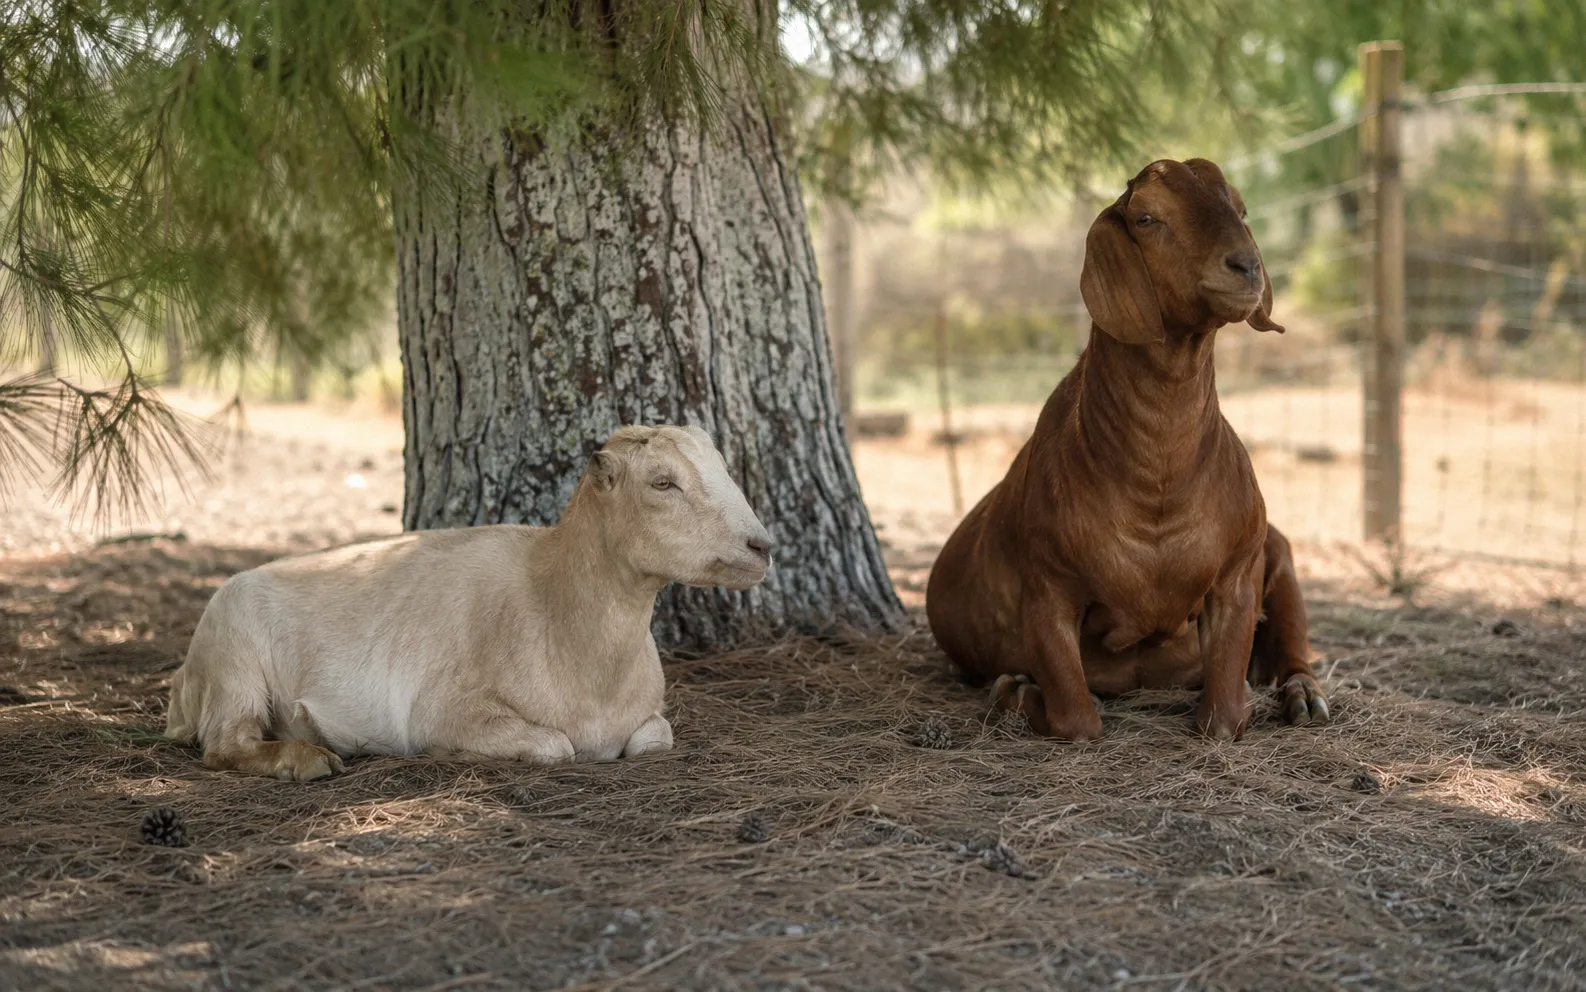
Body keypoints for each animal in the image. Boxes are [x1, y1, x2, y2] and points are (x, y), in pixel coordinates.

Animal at [165, 425, 773, 780]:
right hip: (234, 662)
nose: (762, 546)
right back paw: (308, 760)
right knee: (225, 744)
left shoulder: (648, 724)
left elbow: (654, 738)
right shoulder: (446, 711)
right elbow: (555, 747)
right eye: (662, 483)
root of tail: (180, 692)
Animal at [925, 158, 1330, 741]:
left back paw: (1304, 696)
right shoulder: (1047, 588)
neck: (1156, 484)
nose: (1247, 266)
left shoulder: (1237, 576)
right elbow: (1077, 719)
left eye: (1241, 208)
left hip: (1278, 554)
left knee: (1296, 642)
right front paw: (1015, 691)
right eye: (1147, 217)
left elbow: (1224, 719)